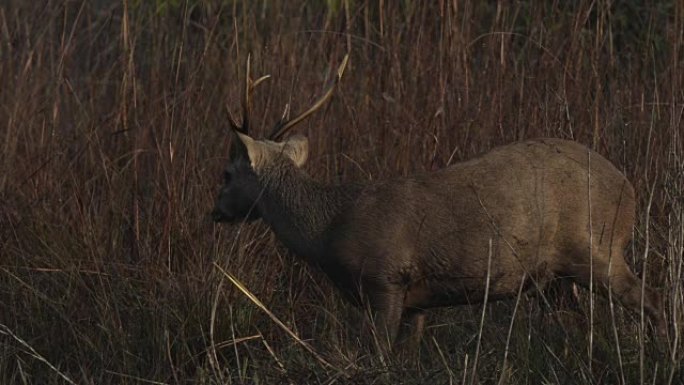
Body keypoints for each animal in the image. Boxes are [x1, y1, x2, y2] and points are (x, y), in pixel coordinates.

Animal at [211, 54, 664, 352]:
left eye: (227, 174)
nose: (215, 212)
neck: (326, 228)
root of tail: (629, 188)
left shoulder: (385, 279)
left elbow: (379, 356)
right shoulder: (416, 302)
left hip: (596, 247)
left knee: (649, 298)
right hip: (554, 277)